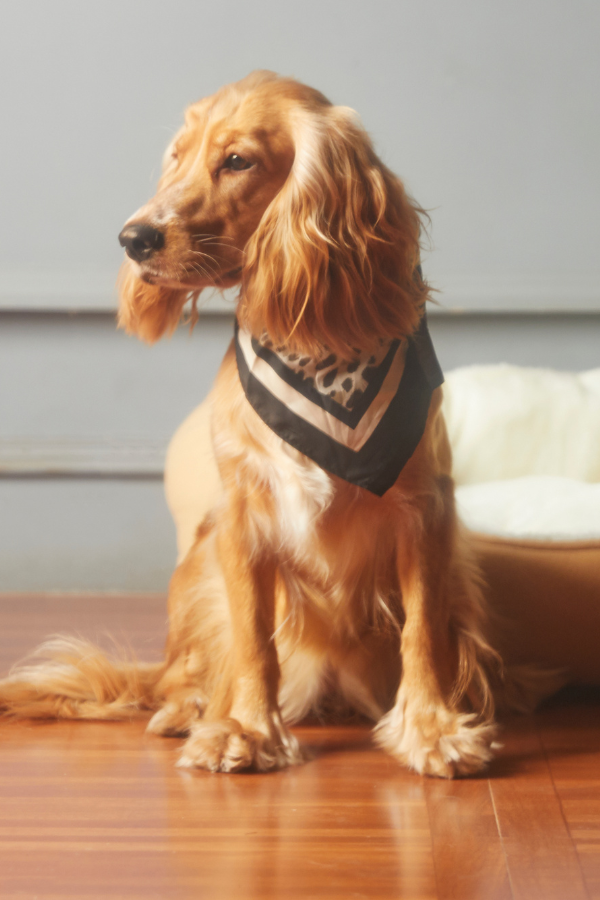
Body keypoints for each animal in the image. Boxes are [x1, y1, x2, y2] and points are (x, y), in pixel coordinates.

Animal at [0, 72, 536, 772]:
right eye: (177, 157)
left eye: (237, 161)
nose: (134, 237)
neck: (317, 352)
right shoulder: (241, 519)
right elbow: (252, 636)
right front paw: (247, 729)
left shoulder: (424, 512)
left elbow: (423, 632)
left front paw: (431, 728)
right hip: (196, 566)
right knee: (180, 674)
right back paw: (188, 710)